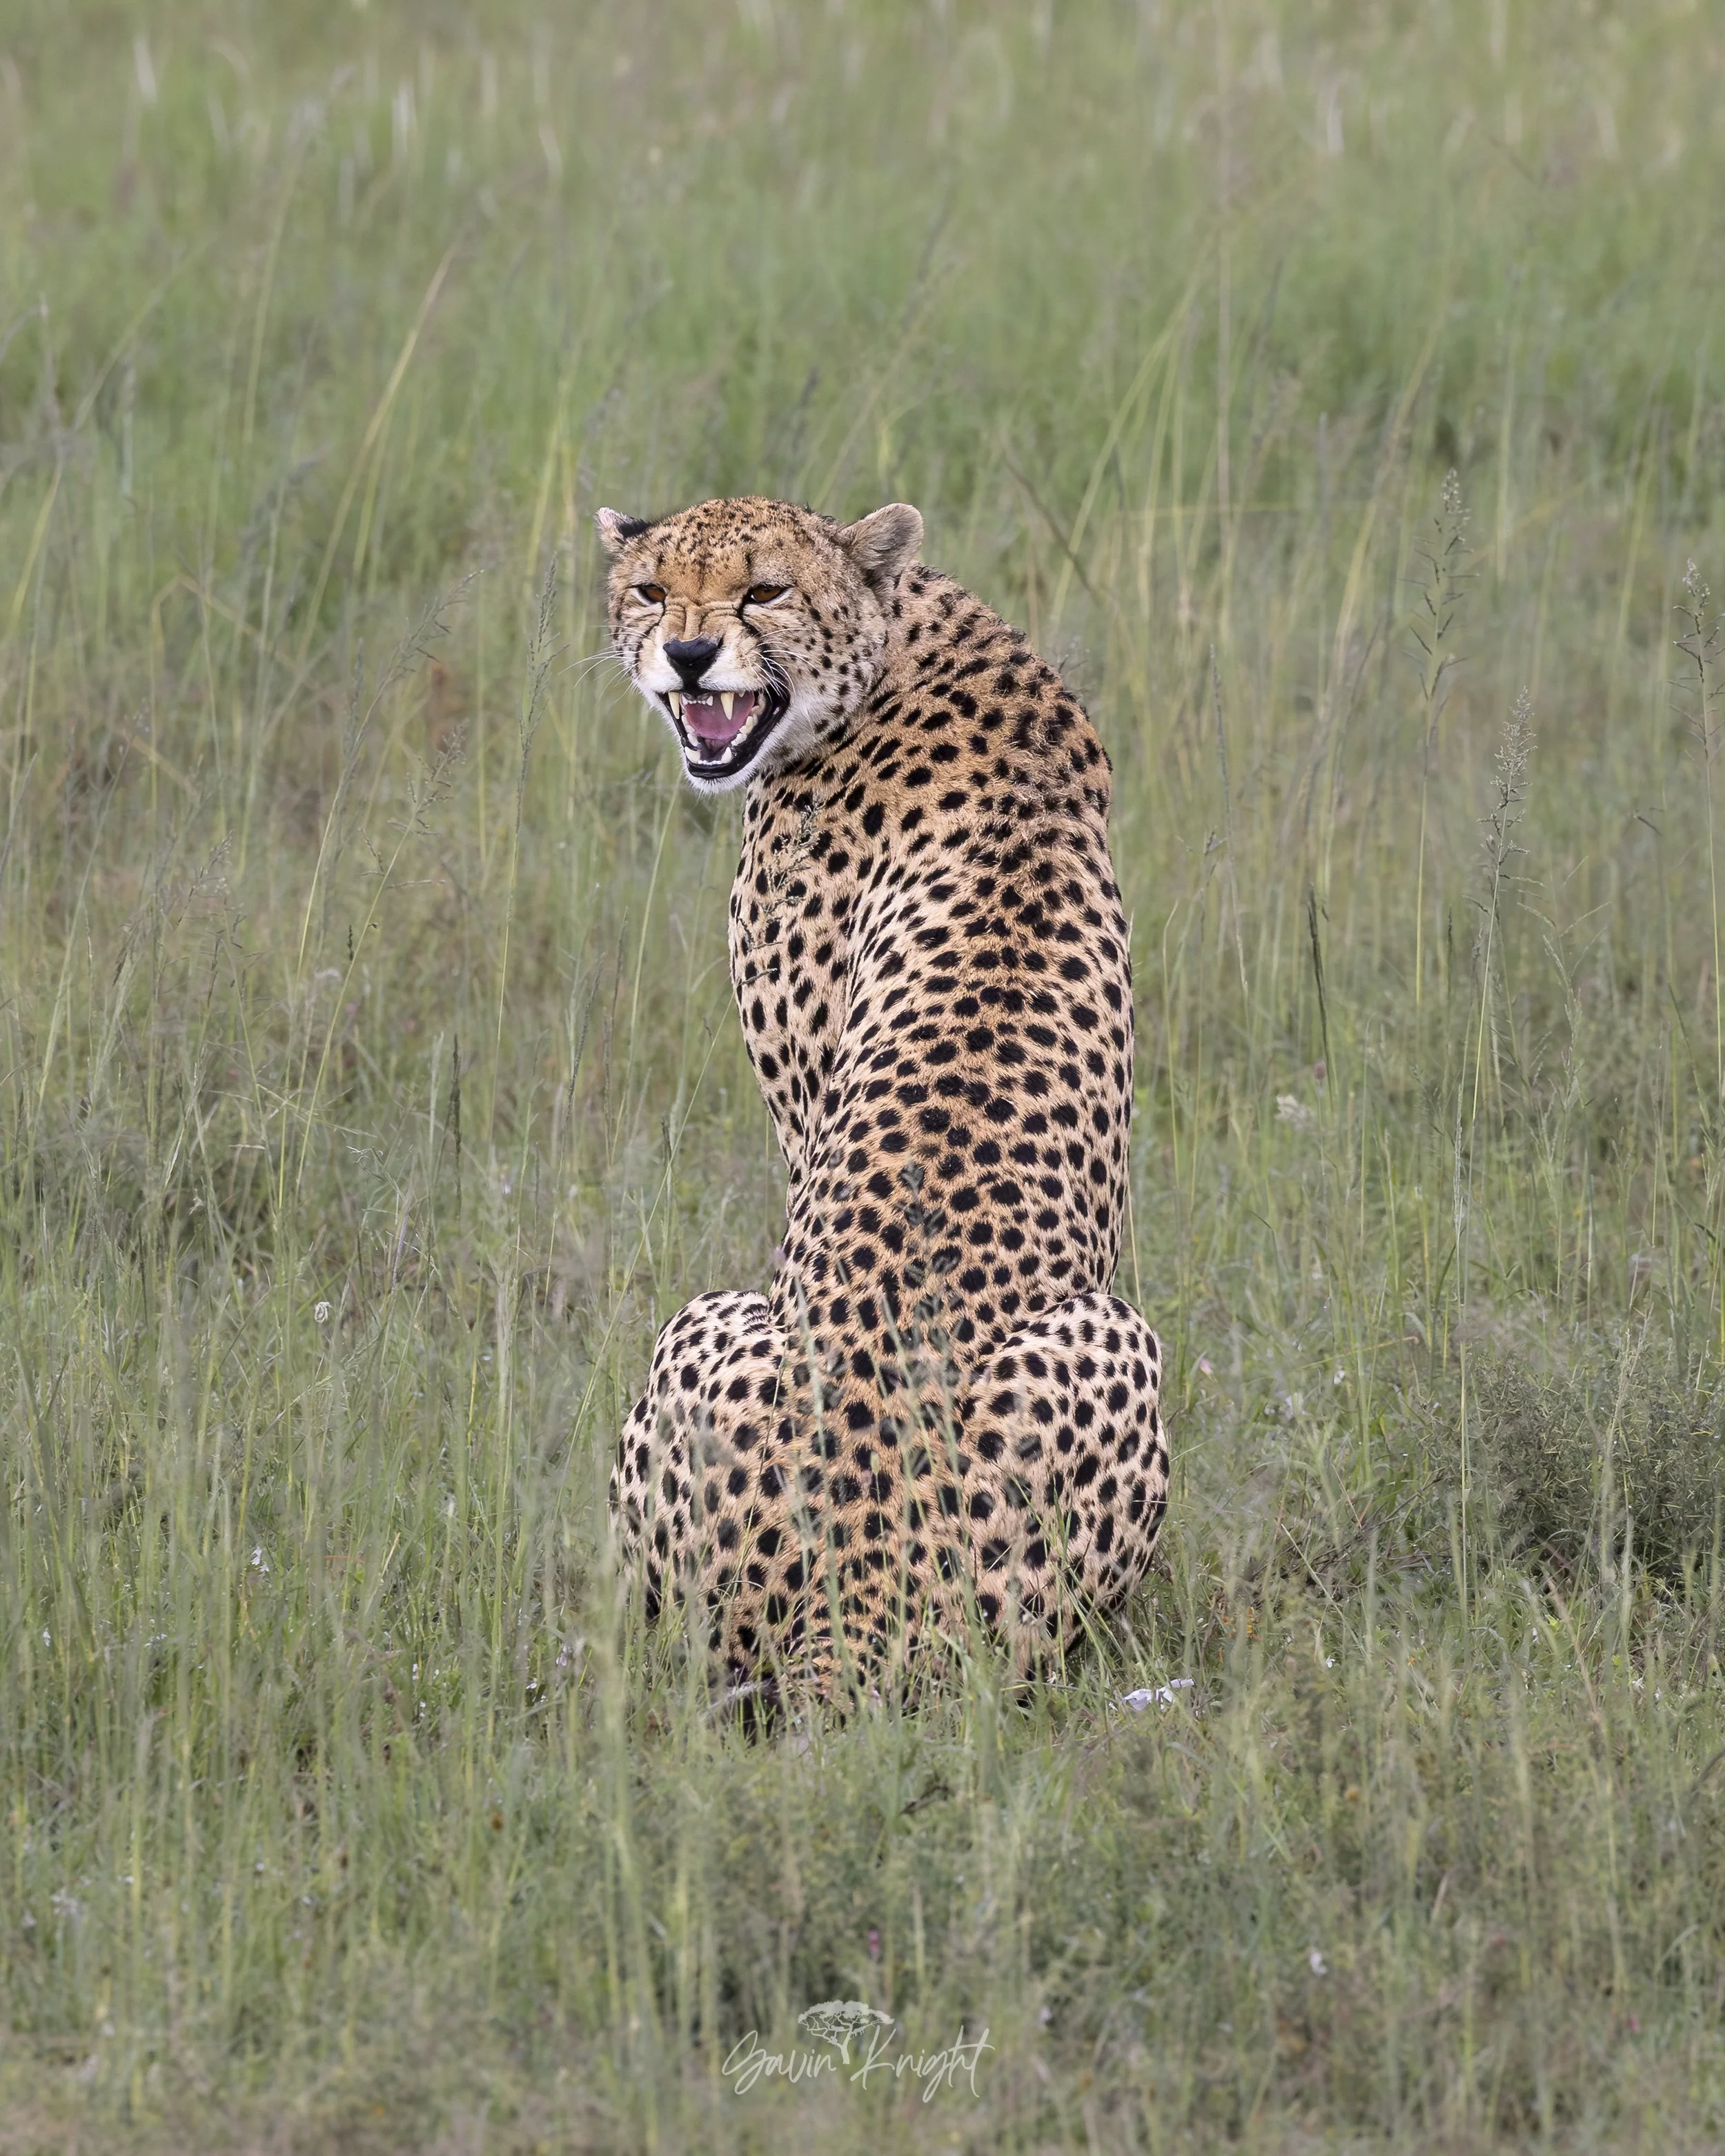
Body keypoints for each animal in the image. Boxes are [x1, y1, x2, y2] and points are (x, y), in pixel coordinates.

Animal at [598, 493, 1168, 1705]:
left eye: (762, 590)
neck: (894, 645)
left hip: (715, 1323)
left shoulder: (800, 1106)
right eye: (653, 590)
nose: (688, 654)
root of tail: (856, 1570)